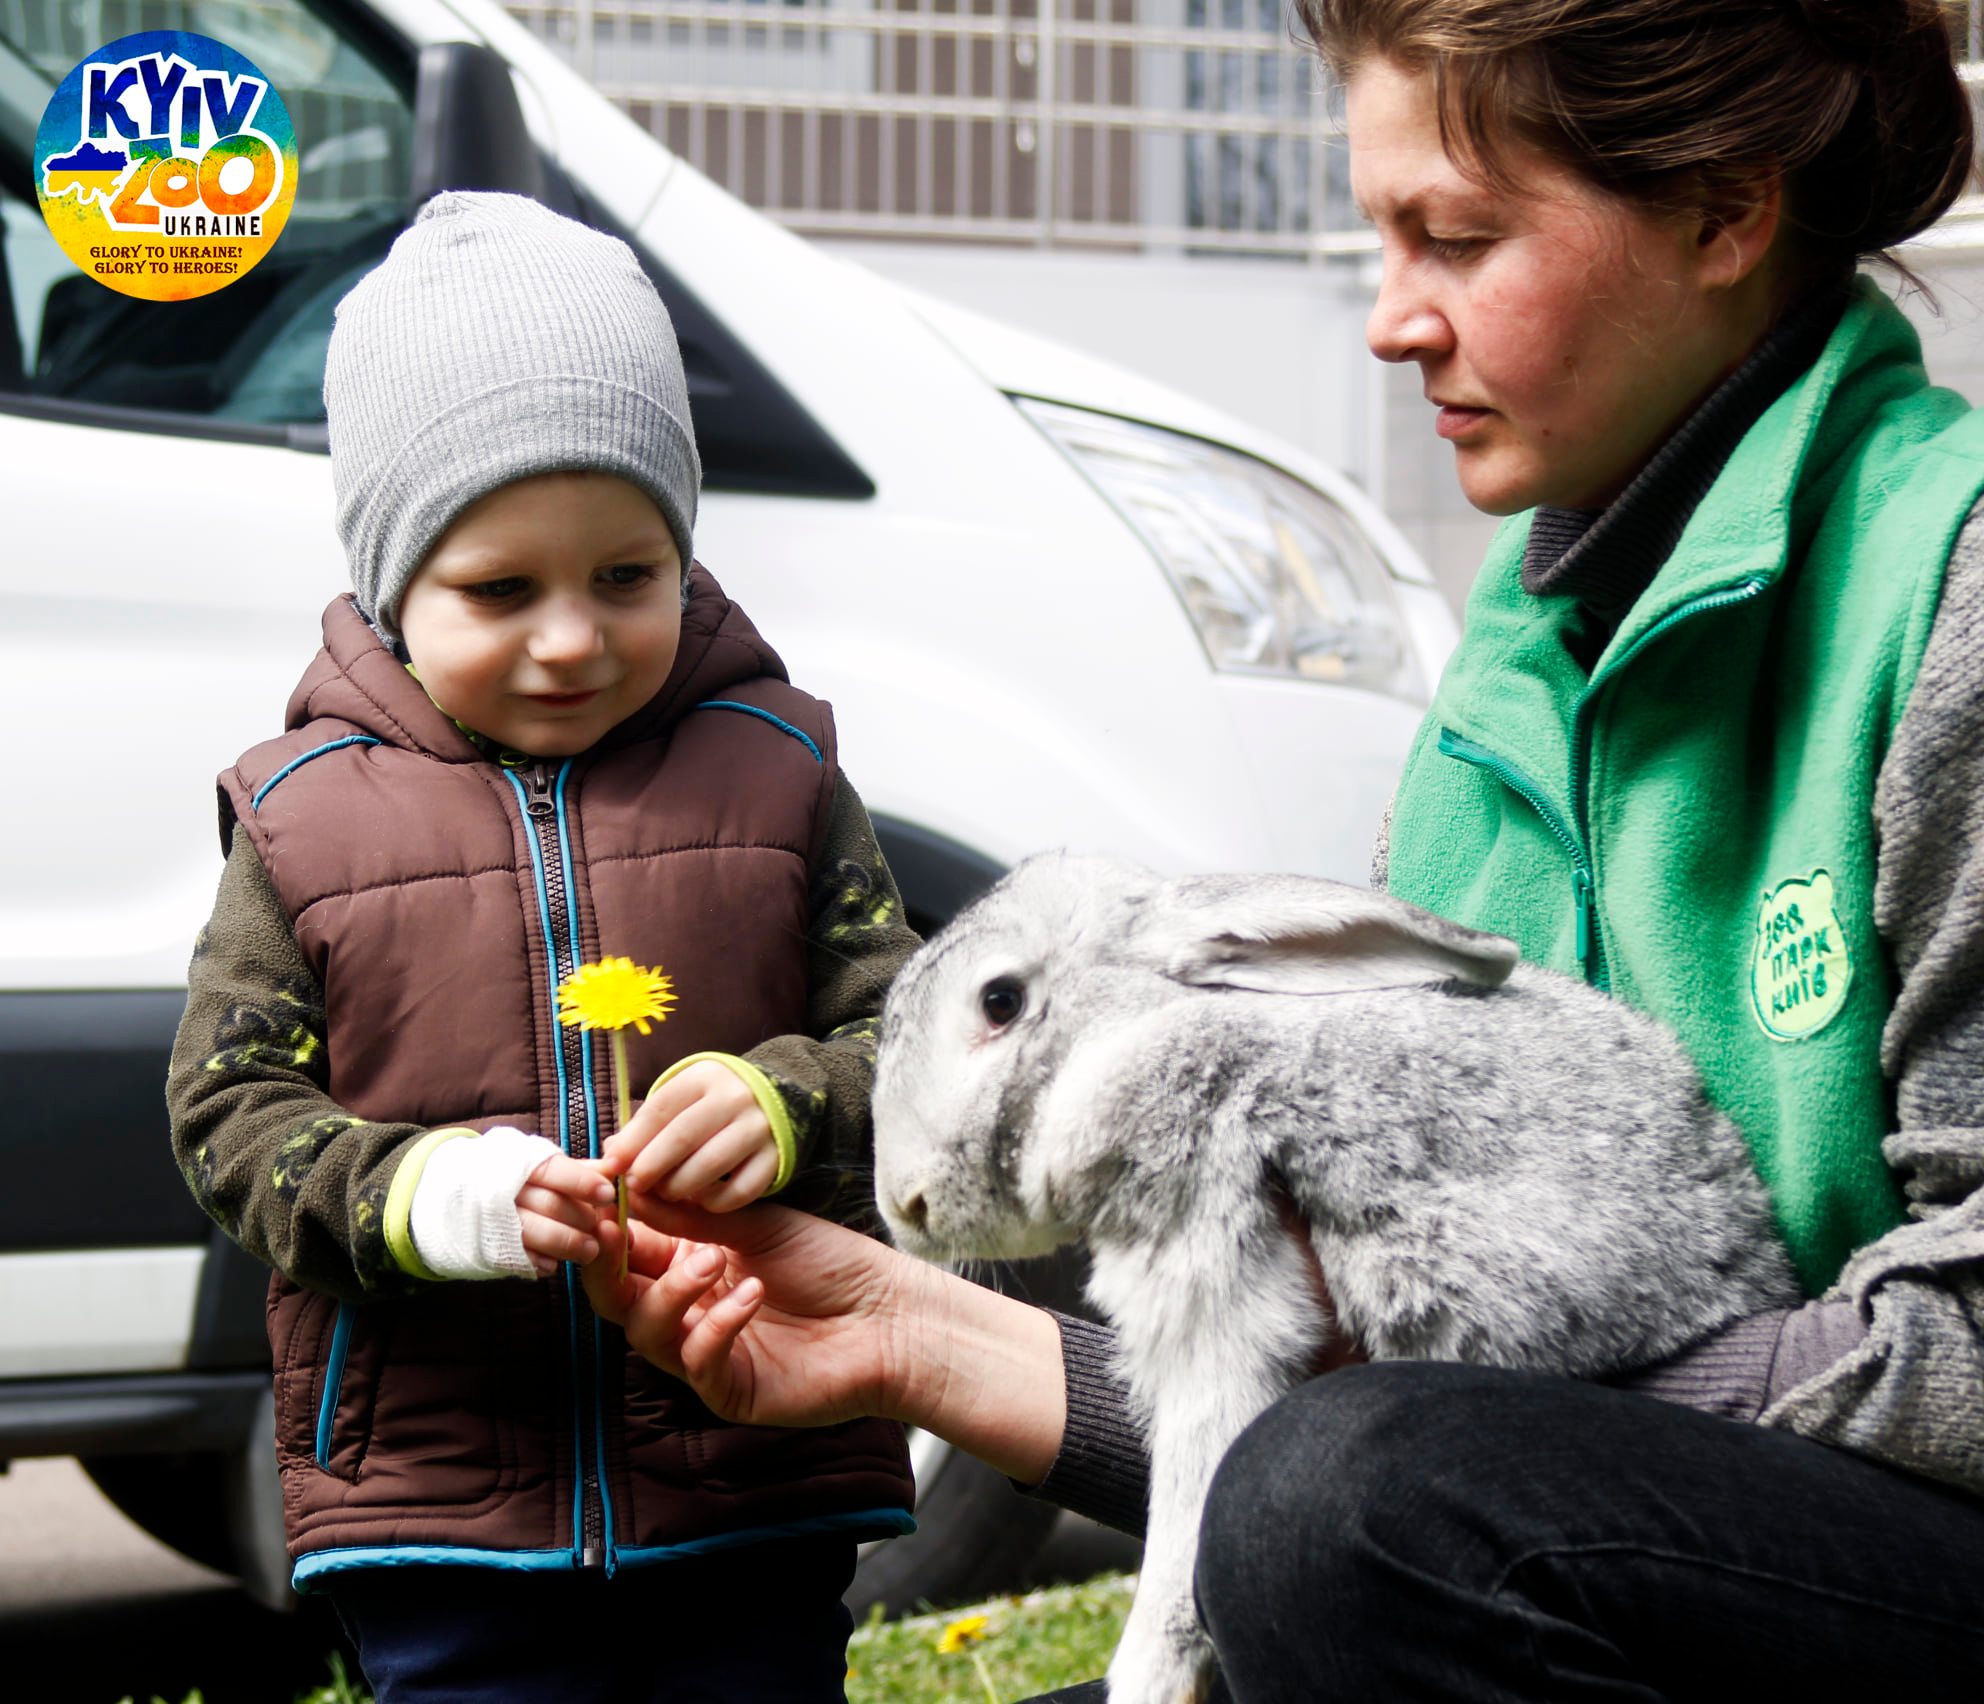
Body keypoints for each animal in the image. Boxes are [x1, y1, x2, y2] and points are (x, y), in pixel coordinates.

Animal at [876, 852, 1809, 1704]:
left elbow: (1187, 1516)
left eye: (1000, 1001)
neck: (1152, 1031)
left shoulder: (1214, 1272)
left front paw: (1146, 1682)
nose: (903, 1205)